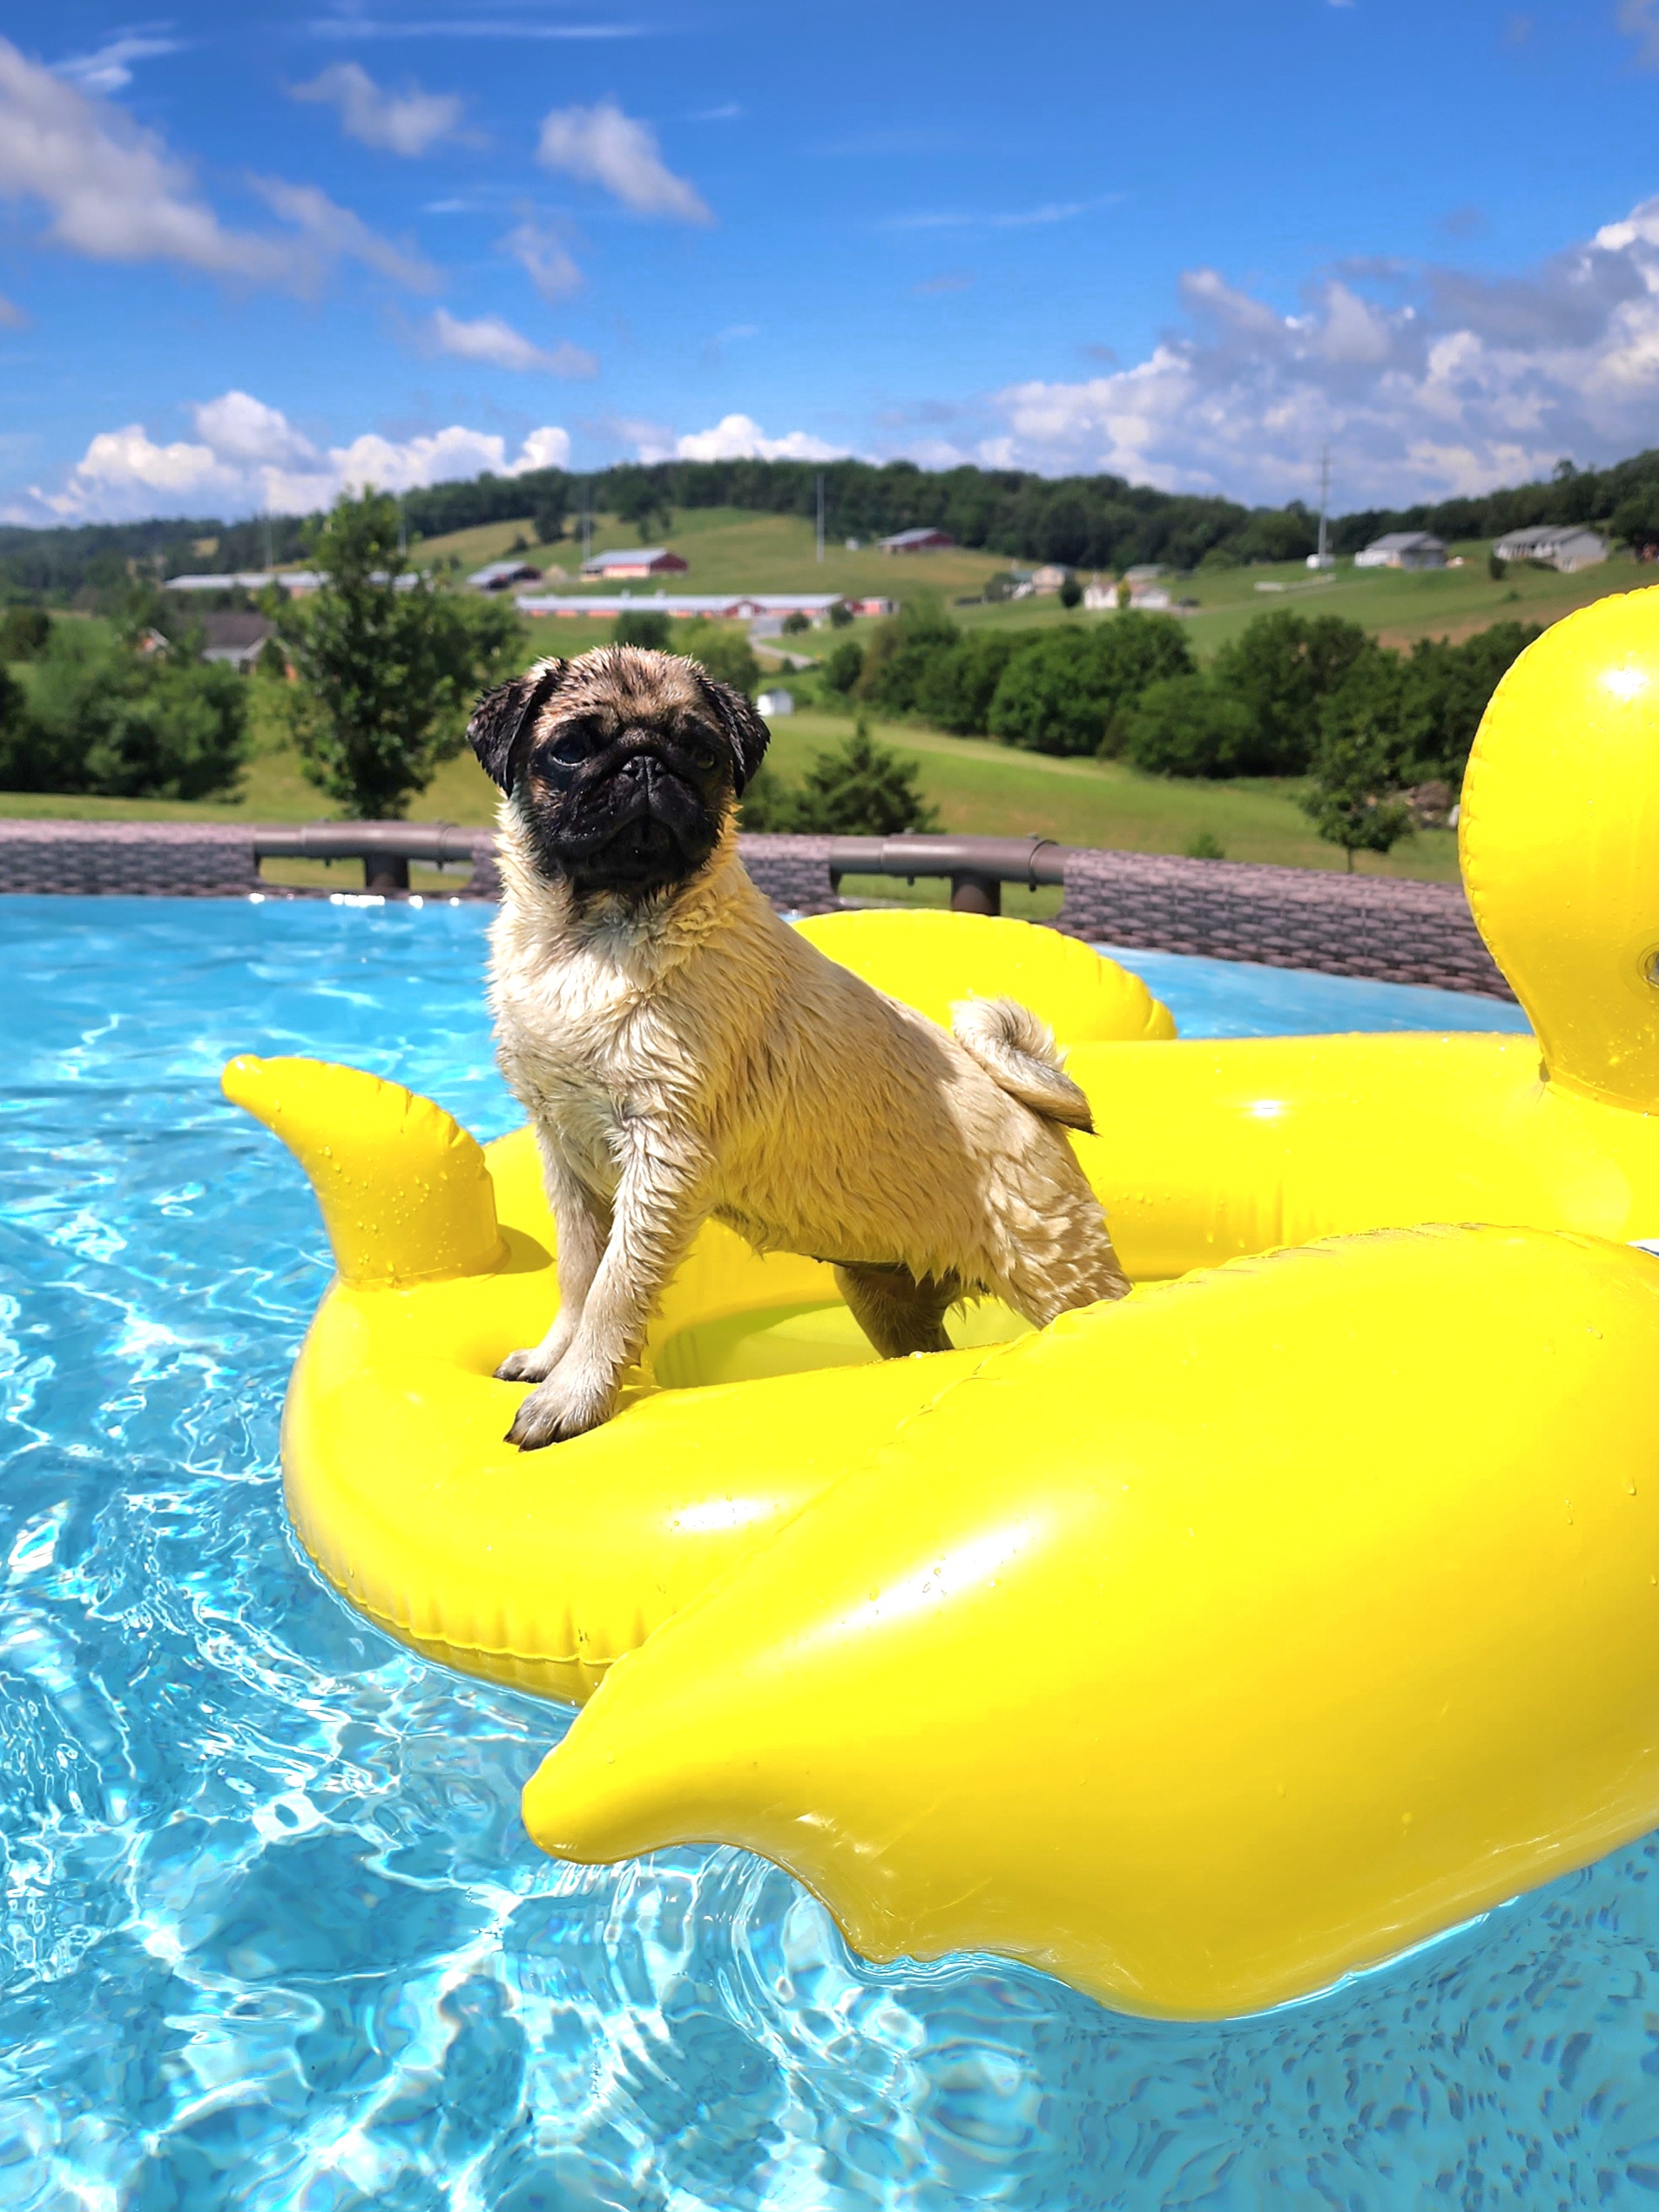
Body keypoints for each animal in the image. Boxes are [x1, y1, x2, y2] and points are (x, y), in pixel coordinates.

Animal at [473, 645, 1141, 1450]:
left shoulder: (663, 1156)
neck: (592, 935)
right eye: (572, 749)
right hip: (886, 1301)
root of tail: (1034, 1117)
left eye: (701, 753)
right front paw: (552, 1359)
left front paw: (574, 1396)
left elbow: (615, 1287)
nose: (645, 763)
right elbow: (578, 1273)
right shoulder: (566, 1152)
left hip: (1057, 1276)